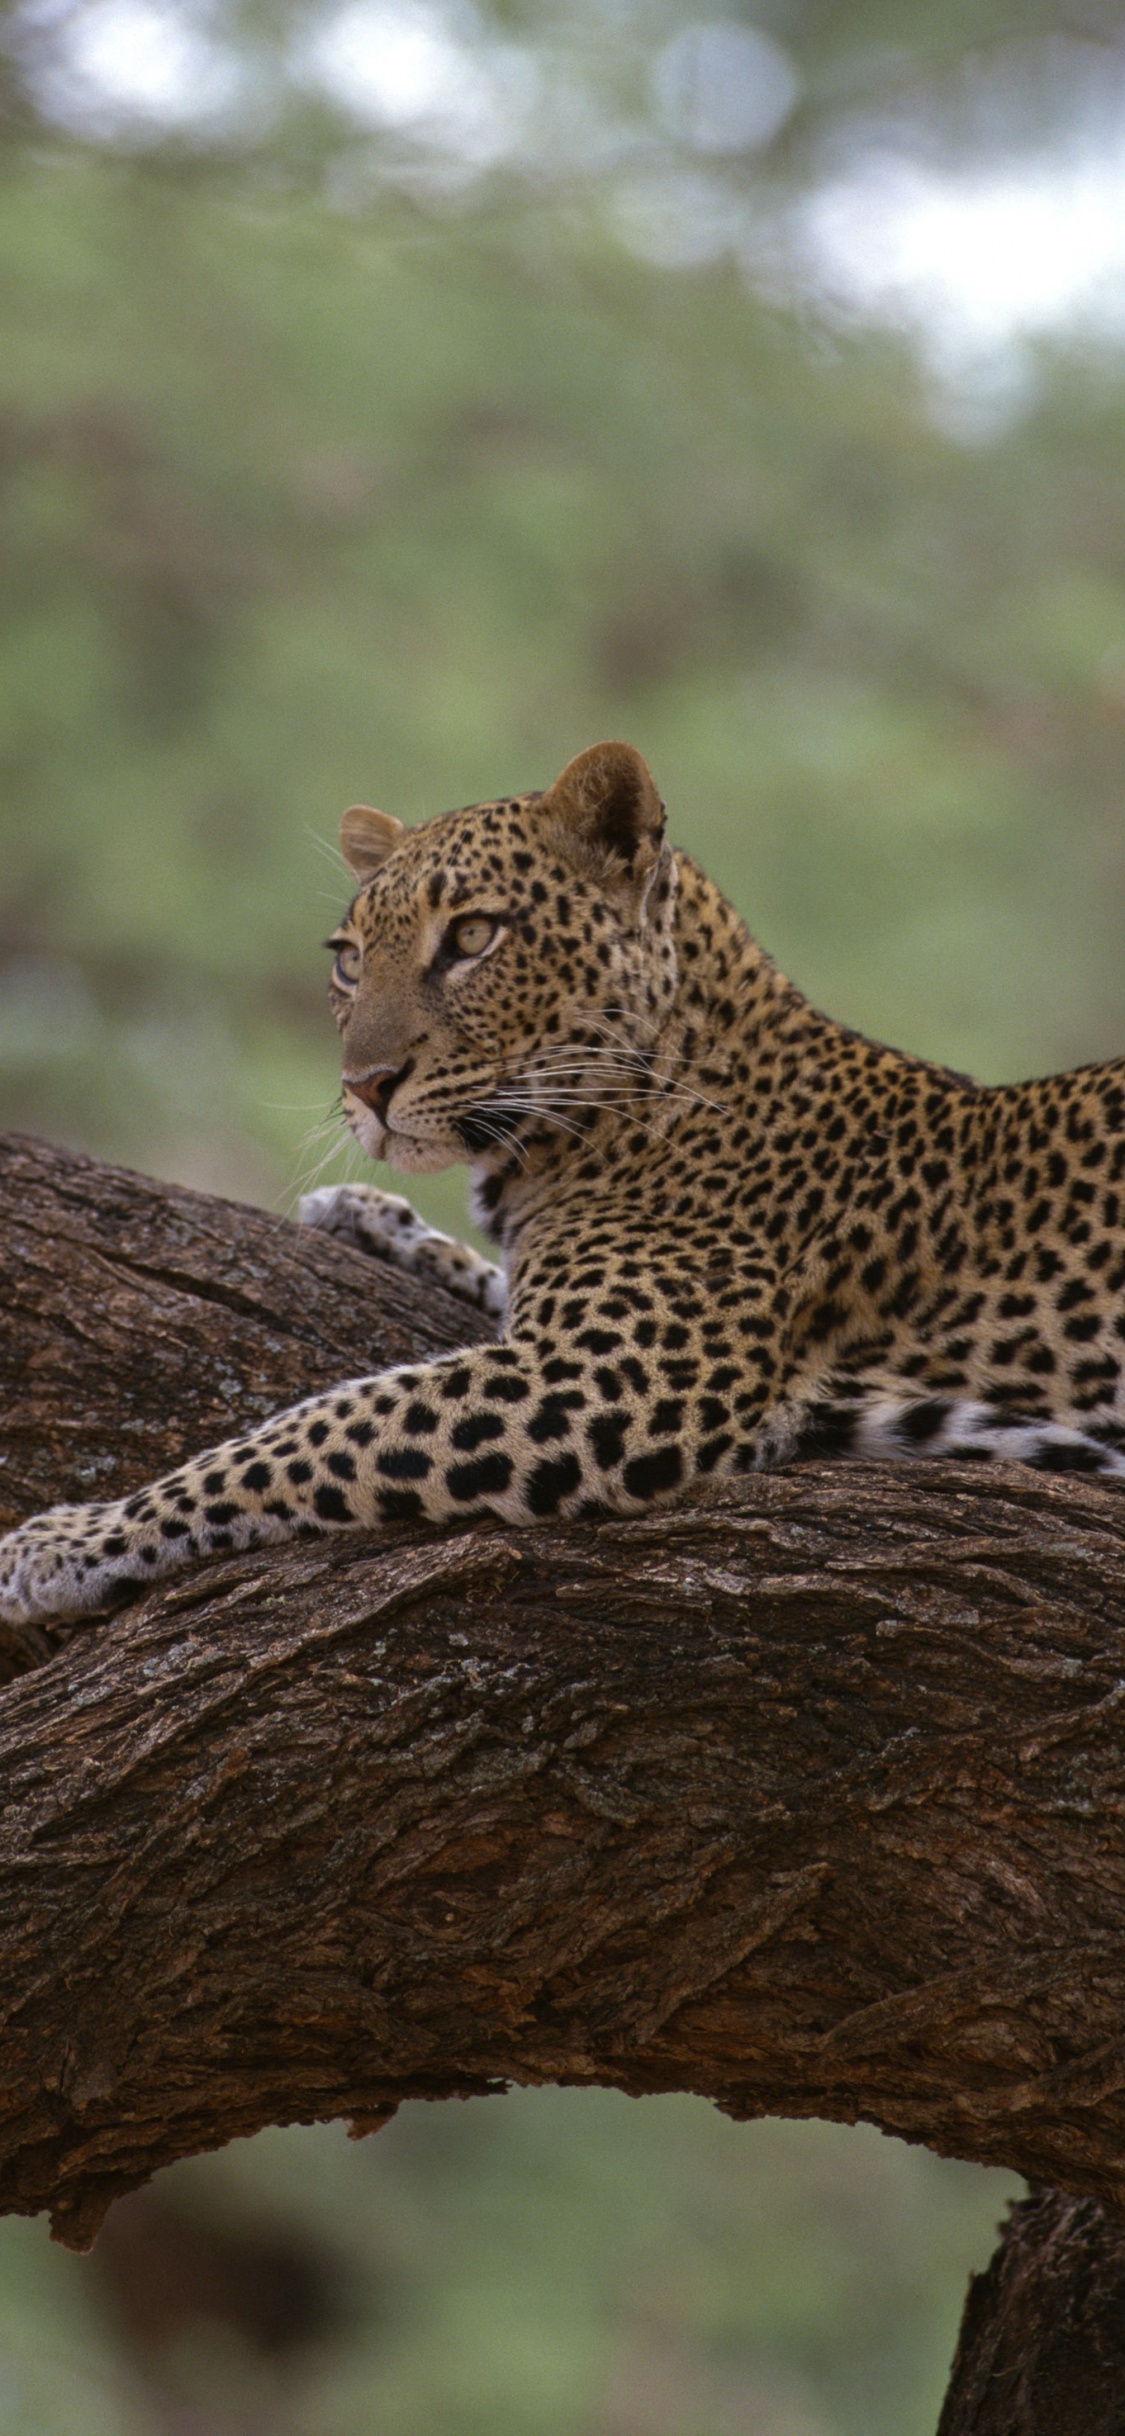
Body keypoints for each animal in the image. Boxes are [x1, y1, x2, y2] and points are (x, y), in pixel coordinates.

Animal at [5, 735, 1125, 1630]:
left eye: (471, 936)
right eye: (348, 958)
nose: (363, 1087)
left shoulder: (610, 1377)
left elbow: (314, 1429)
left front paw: (70, 1540)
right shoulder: (560, 1328)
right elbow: (474, 1287)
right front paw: (367, 1217)